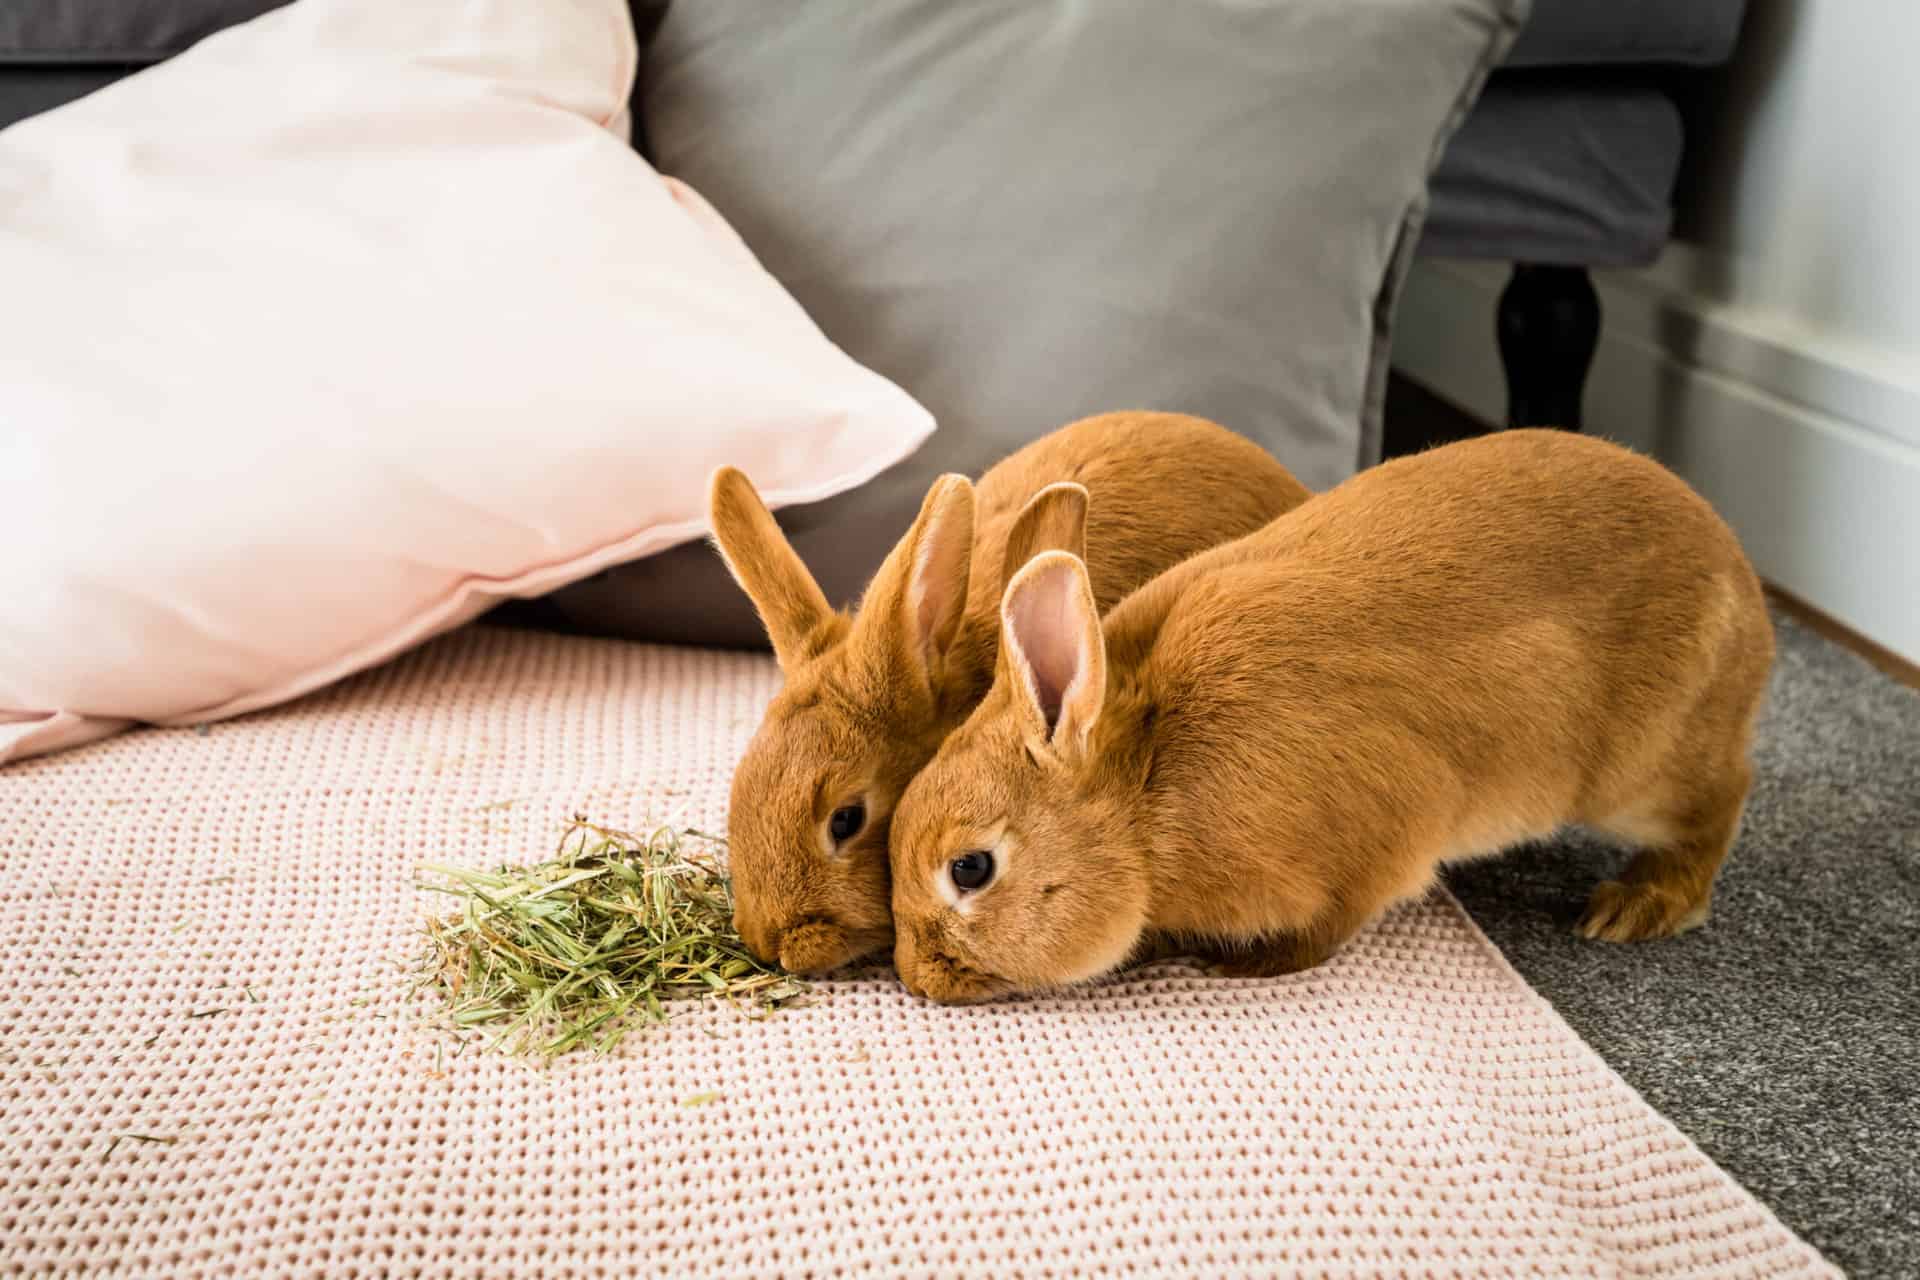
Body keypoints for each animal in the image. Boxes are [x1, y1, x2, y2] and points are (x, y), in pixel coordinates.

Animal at [890, 426, 1774, 1005]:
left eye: (970, 869)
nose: (917, 977)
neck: (1149, 789)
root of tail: (1744, 587)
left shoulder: (1376, 841)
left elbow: (1325, 931)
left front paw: (1227, 967)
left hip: (1644, 771)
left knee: (1719, 802)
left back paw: (1638, 906)